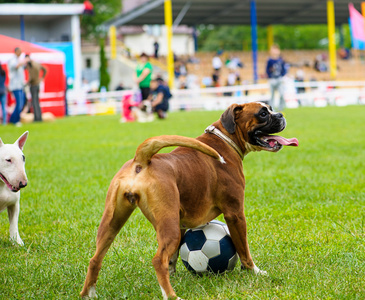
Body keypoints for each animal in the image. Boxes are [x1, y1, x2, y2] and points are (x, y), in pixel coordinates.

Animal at [79, 101, 296, 300]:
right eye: (262, 113)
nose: (281, 115)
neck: (225, 138)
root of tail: (142, 160)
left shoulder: (181, 221)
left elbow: (174, 256)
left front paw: (173, 274)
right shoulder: (235, 214)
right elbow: (243, 248)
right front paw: (254, 271)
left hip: (113, 222)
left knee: (95, 259)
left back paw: (88, 293)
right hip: (168, 226)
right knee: (158, 260)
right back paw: (171, 296)